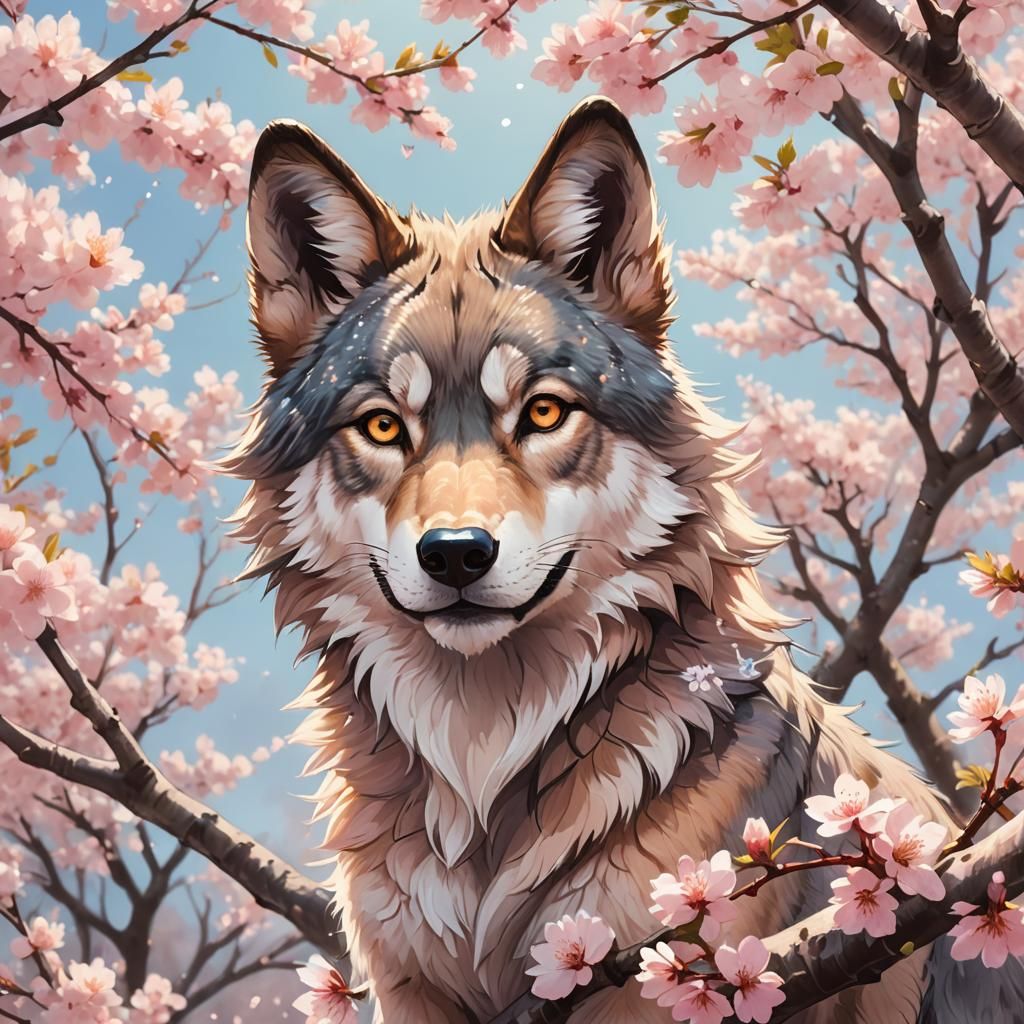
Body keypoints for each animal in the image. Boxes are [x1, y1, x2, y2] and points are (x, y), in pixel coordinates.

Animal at [224, 97, 1021, 1023]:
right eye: (383, 425)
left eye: (542, 412)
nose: (456, 555)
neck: (482, 754)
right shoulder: (411, 991)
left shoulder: (664, 972)